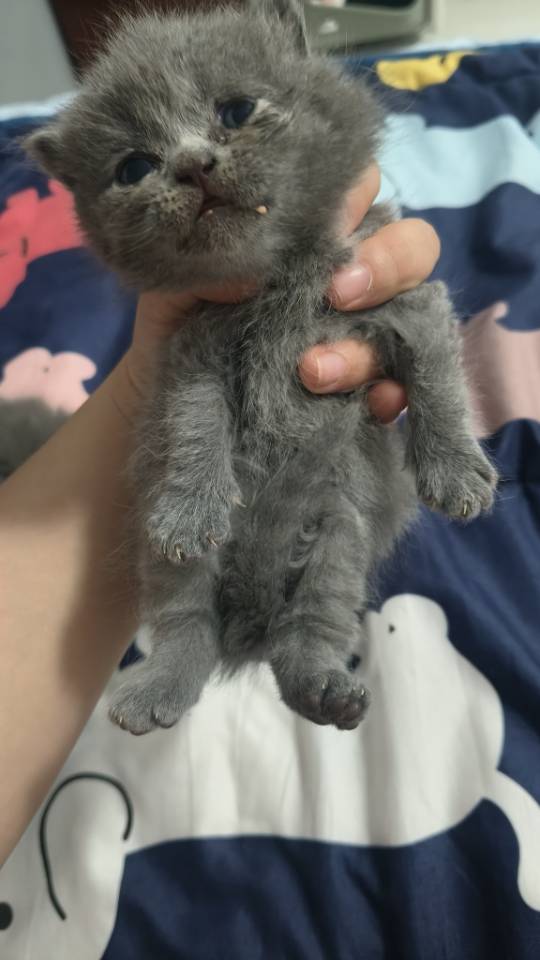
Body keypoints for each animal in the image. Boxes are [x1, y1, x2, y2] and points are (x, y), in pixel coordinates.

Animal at [23, 0, 497, 733]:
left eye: (237, 110)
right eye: (134, 168)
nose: (193, 164)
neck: (278, 277)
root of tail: (248, 620)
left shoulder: (406, 299)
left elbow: (438, 376)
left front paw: (454, 471)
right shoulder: (191, 348)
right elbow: (194, 424)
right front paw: (190, 505)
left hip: (340, 536)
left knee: (308, 630)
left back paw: (324, 689)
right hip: (173, 566)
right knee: (186, 625)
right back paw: (156, 690)